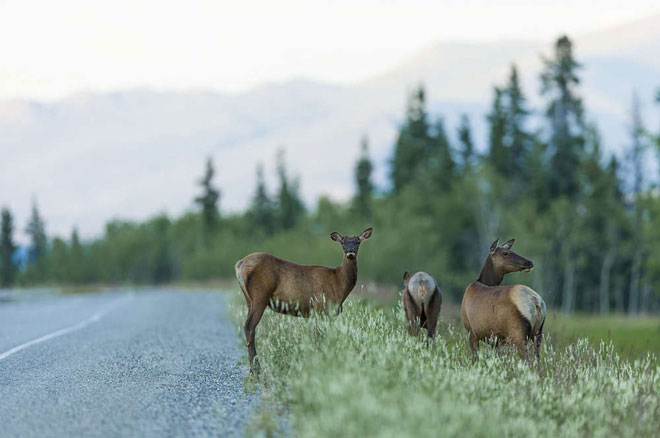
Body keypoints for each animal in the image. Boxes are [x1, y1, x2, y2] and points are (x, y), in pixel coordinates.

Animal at [235, 228, 372, 372]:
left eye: (357, 242)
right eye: (343, 243)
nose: (350, 251)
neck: (339, 284)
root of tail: (240, 264)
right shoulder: (321, 308)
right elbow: (319, 336)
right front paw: (321, 361)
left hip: (249, 299)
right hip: (260, 296)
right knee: (249, 327)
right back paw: (256, 369)